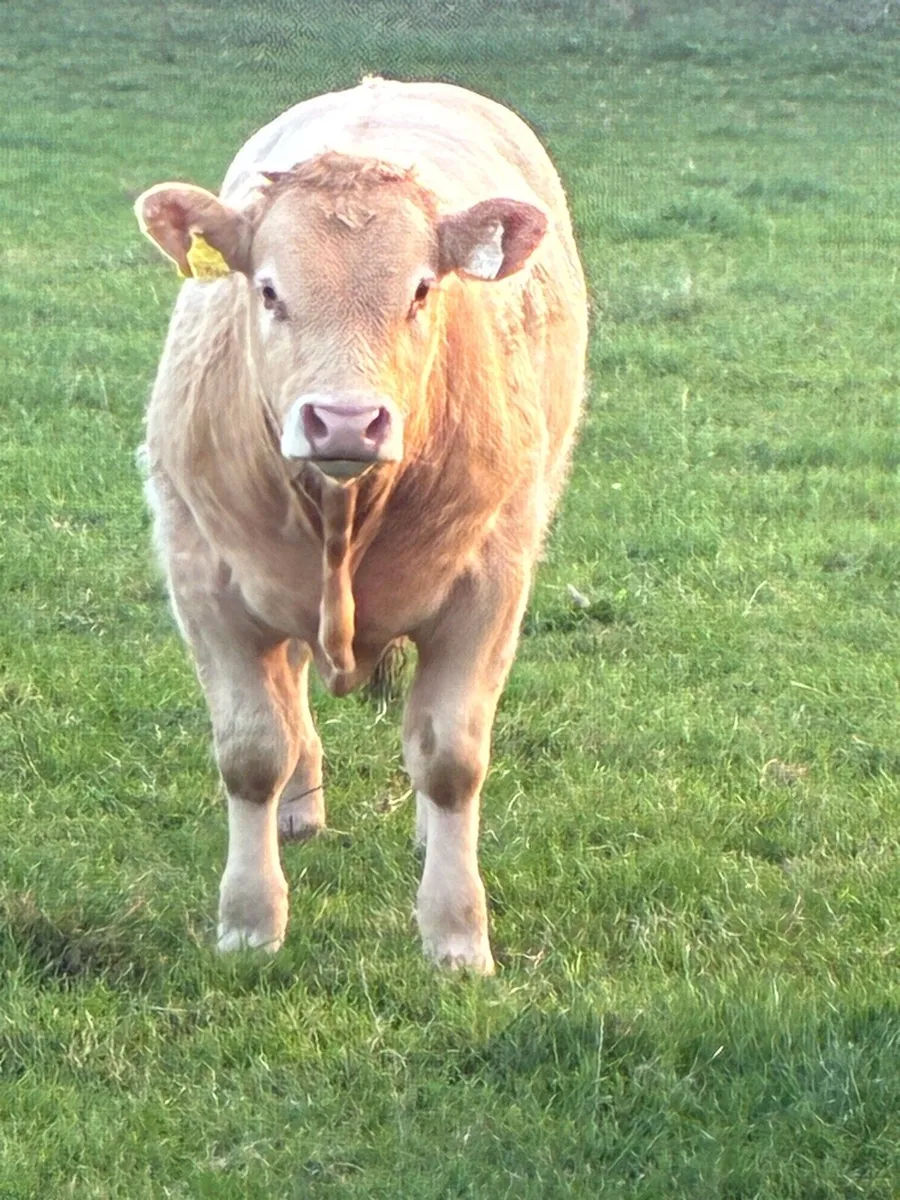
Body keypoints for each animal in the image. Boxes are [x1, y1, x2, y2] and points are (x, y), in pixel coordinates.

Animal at [135, 77, 587, 973]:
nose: (345, 421)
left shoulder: (491, 584)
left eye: (421, 290)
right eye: (268, 290)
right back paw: (298, 810)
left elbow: (450, 758)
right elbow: (252, 751)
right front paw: (250, 921)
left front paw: (456, 934)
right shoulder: (203, 574)